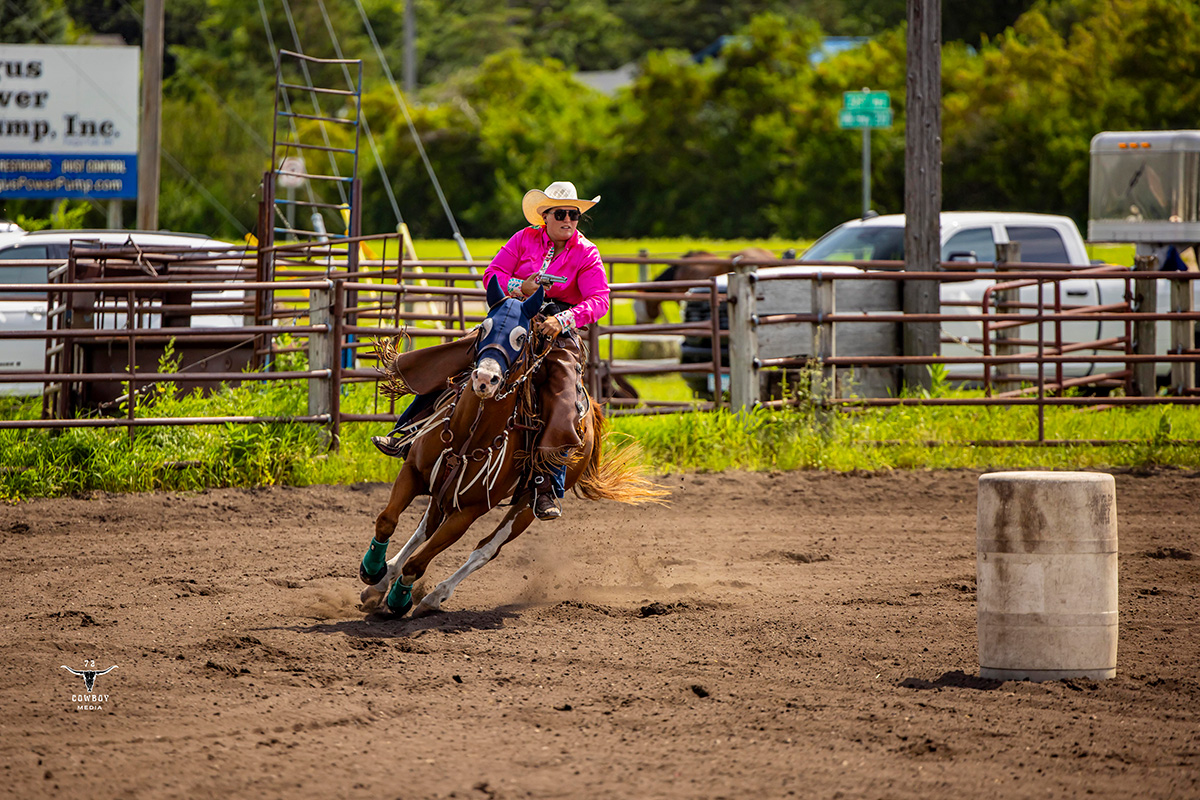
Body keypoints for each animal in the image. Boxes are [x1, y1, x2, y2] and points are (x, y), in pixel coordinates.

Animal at [360, 277, 666, 618]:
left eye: (521, 336)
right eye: (484, 327)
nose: (484, 379)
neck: (469, 434)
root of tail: (592, 410)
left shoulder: (469, 510)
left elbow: (420, 562)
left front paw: (401, 598)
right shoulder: (414, 472)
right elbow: (387, 520)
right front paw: (372, 569)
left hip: (525, 506)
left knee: (486, 549)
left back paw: (433, 596)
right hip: (444, 490)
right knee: (425, 528)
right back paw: (382, 580)